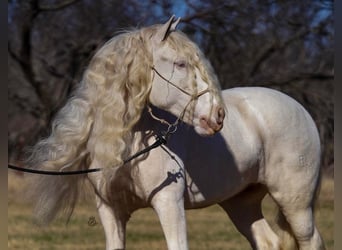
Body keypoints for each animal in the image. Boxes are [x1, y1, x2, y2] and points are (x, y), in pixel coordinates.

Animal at [26, 16, 324, 249]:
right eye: (180, 64)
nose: (218, 115)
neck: (131, 149)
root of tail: (301, 109)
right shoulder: (111, 212)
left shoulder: (169, 203)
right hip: (241, 203)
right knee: (267, 241)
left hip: (296, 203)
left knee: (311, 240)